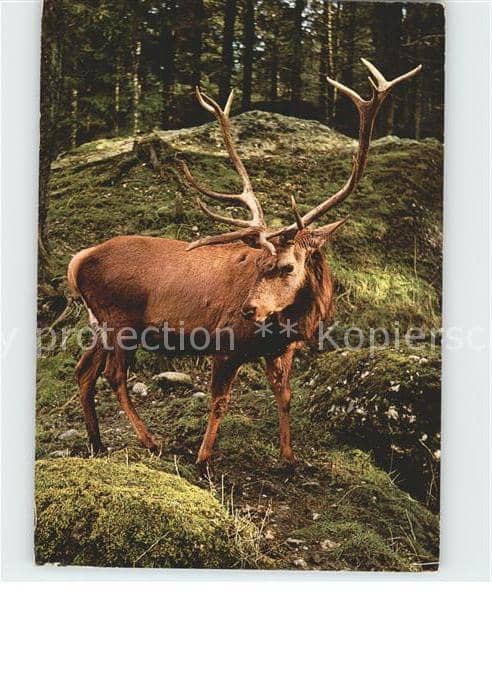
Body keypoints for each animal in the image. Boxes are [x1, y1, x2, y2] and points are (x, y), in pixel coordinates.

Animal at [67, 59, 421, 471]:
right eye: (260, 263)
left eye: (287, 267)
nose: (248, 309)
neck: (291, 323)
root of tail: (77, 262)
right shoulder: (225, 343)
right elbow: (220, 401)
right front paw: (203, 457)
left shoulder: (282, 350)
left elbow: (285, 397)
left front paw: (289, 457)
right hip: (120, 320)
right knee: (113, 376)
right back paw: (150, 440)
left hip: (99, 323)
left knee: (84, 370)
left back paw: (97, 442)